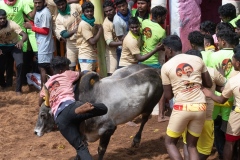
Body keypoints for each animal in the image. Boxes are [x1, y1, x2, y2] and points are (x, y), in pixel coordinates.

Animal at [34, 64, 164, 159]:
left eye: (43, 115)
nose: (35, 132)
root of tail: (154, 70)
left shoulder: (108, 129)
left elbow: (101, 150)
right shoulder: (82, 137)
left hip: (149, 107)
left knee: (144, 120)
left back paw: (136, 140)